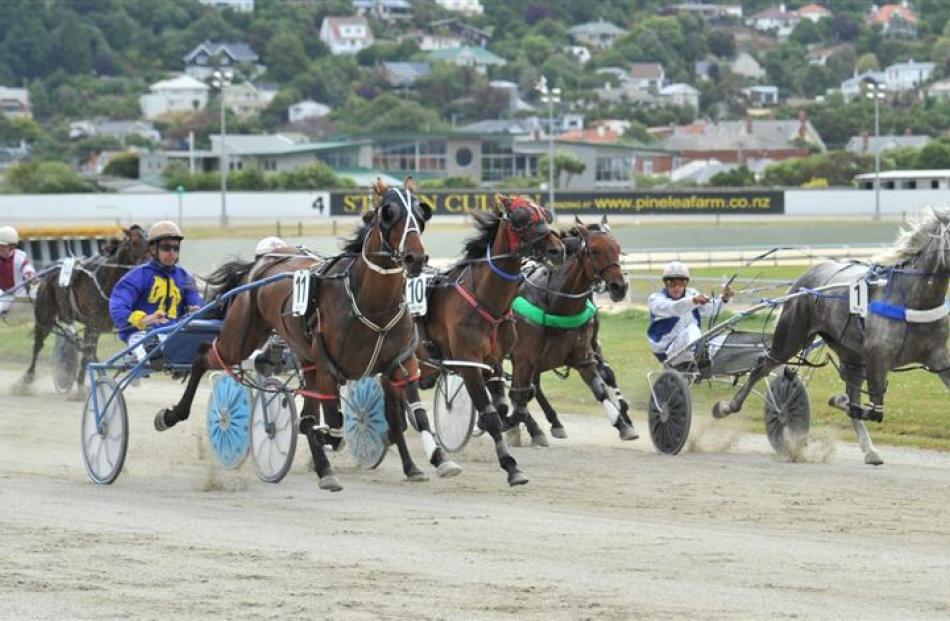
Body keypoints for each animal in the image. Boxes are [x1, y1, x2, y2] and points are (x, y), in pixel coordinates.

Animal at [20, 225, 149, 394]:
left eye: (149, 240)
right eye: (134, 241)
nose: (149, 262)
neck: (107, 282)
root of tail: (47, 274)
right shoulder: (92, 324)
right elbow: (87, 353)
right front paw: (81, 387)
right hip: (44, 316)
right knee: (38, 344)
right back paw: (27, 378)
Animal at [154, 179, 462, 490]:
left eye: (422, 213)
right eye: (388, 213)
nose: (415, 257)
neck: (372, 304)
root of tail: (260, 264)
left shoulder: (401, 363)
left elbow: (416, 415)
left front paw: (437, 460)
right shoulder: (328, 369)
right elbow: (332, 424)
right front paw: (327, 456)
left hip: (305, 359)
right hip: (241, 338)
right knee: (204, 354)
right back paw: (171, 415)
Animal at [414, 194, 564, 484]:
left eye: (545, 213)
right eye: (520, 218)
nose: (558, 250)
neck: (486, 299)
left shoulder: (493, 361)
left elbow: (505, 408)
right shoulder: (468, 362)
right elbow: (493, 415)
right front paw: (511, 467)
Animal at [510, 217, 636, 446]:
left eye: (617, 248)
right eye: (594, 251)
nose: (619, 287)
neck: (555, 302)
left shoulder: (585, 352)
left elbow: (602, 385)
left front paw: (624, 422)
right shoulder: (525, 355)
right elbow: (519, 393)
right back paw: (535, 428)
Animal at [712, 208, 950, 464]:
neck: (911, 299)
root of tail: (807, 274)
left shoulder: (938, 357)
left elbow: (864, 407)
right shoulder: (878, 358)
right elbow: (872, 411)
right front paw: (838, 401)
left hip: (851, 354)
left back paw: (870, 450)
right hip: (792, 337)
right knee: (761, 367)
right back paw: (726, 407)